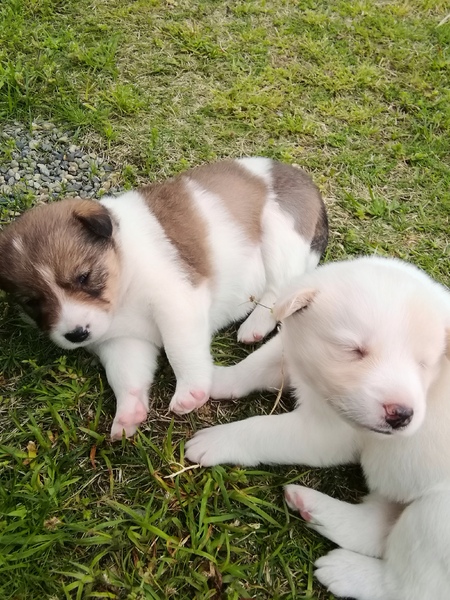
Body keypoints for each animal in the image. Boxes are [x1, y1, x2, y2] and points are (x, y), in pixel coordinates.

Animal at [0, 157, 327, 439]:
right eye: (32, 302)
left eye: (84, 277)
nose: (76, 334)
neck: (125, 281)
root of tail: (302, 178)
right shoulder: (122, 342)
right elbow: (125, 376)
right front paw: (127, 414)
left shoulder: (176, 302)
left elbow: (180, 349)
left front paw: (190, 392)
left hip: (280, 232)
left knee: (281, 286)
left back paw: (255, 324)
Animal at [185, 256, 450, 600]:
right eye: (353, 350)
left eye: (424, 363)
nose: (401, 414)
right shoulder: (290, 348)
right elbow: (257, 364)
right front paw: (217, 379)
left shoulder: (323, 434)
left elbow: (261, 429)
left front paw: (216, 440)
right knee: (374, 526)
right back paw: (313, 507)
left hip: (436, 516)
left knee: (408, 585)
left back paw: (347, 573)